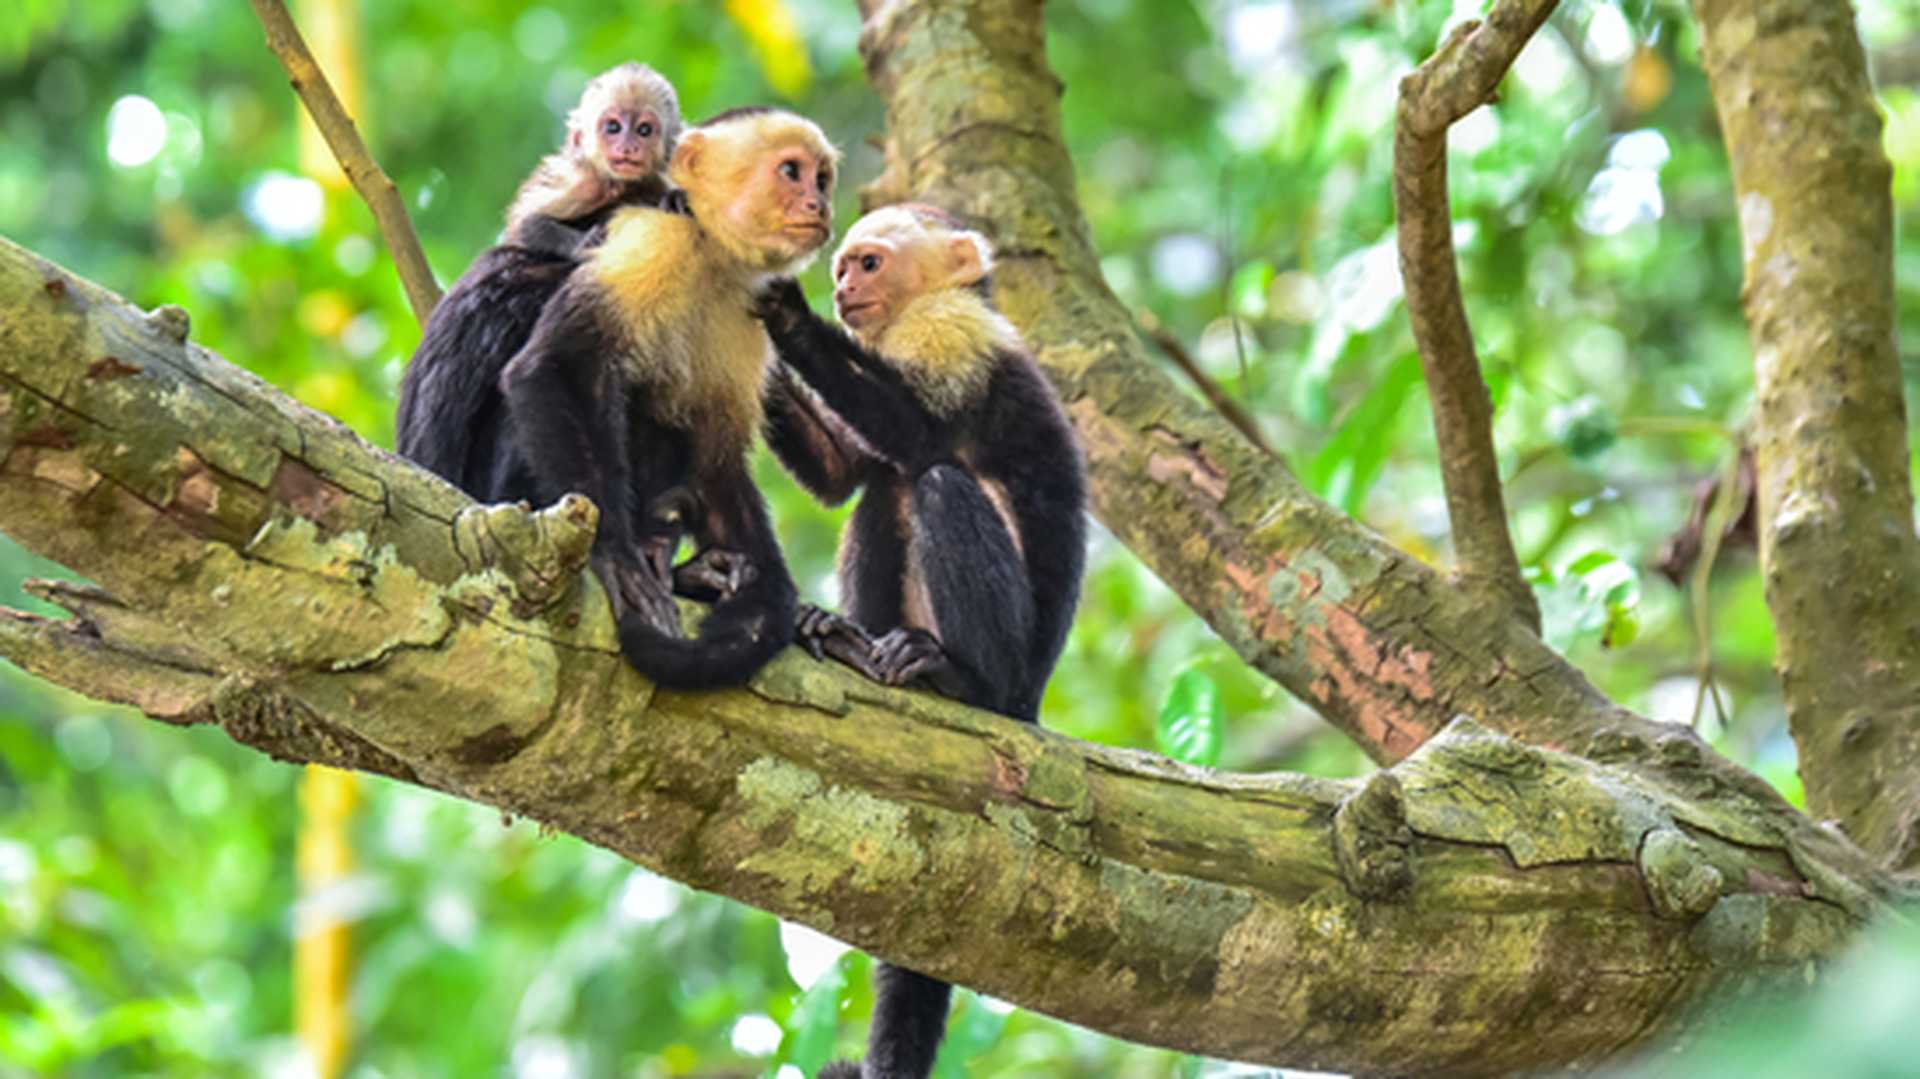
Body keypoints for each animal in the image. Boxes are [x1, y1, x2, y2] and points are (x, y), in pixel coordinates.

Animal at [497, 107, 842, 687]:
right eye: (791, 172)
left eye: (821, 178)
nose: (819, 204)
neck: (709, 252)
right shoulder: (653, 244)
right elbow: (555, 368)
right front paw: (614, 555)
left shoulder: (749, 312)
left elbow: (715, 459)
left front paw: (773, 600)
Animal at [754, 204, 1088, 1079]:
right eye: (845, 265)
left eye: (868, 263)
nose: (841, 288)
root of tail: (1033, 701)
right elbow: (844, 471)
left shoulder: (954, 333)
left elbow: (920, 429)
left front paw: (786, 316)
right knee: (883, 490)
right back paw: (846, 640)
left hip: (1013, 667)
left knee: (933, 480)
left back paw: (955, 679)